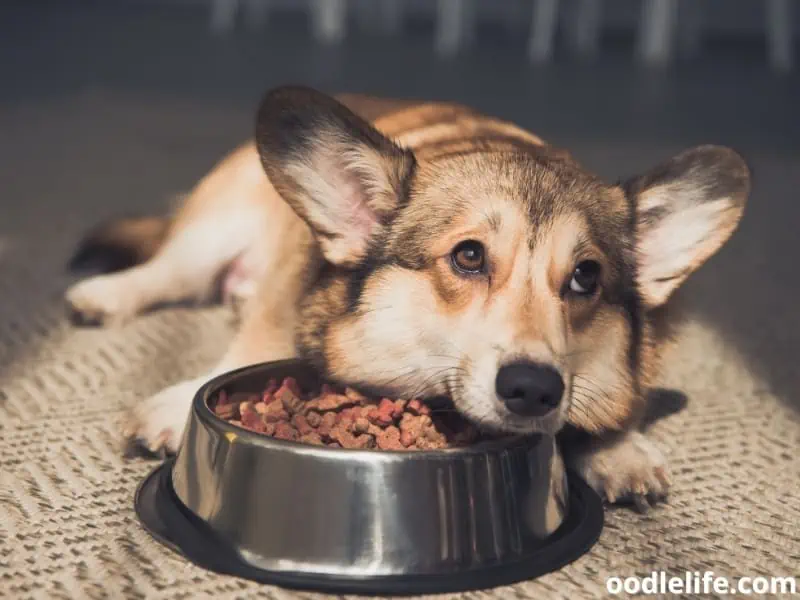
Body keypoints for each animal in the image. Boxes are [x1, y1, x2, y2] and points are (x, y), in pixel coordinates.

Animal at [64, 84, 752, 506]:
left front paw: (617, 450)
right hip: (215, 228)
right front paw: (174, 406)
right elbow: (249, 347)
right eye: (469, 256)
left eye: (585, 277)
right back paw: (102, 295)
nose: (533, 389)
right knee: (165, 271)